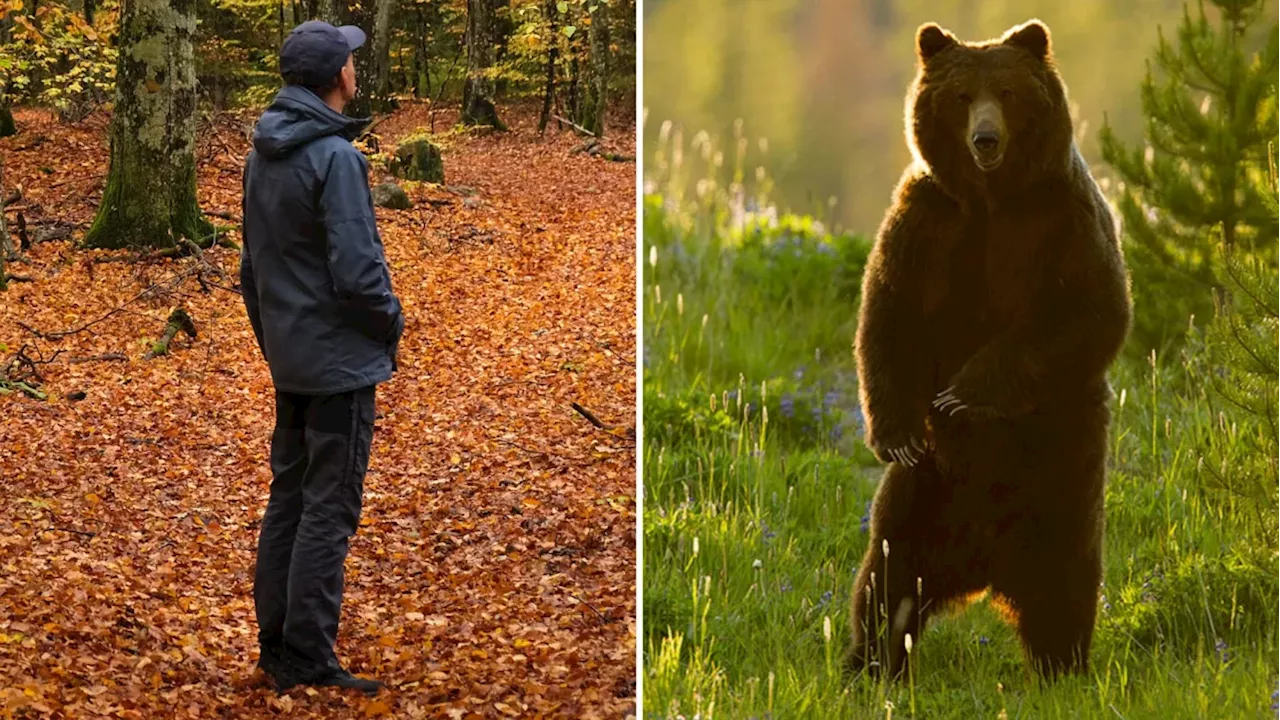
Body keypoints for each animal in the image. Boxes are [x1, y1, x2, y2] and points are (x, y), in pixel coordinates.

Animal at [849, 19, 1131, 681]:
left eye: (1006, 91)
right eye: (961, 96)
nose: (985, 138)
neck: (992, 199)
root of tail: (980, 570)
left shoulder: (1062, 218)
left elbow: (1090, 311)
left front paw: (961, 395)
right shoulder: (927, 221)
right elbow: (890, 312)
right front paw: (897, 432)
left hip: (1063, 475)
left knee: (1065, 583)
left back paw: (1061, 668)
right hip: (924, 494)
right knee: (887, 579)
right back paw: (866, 667)